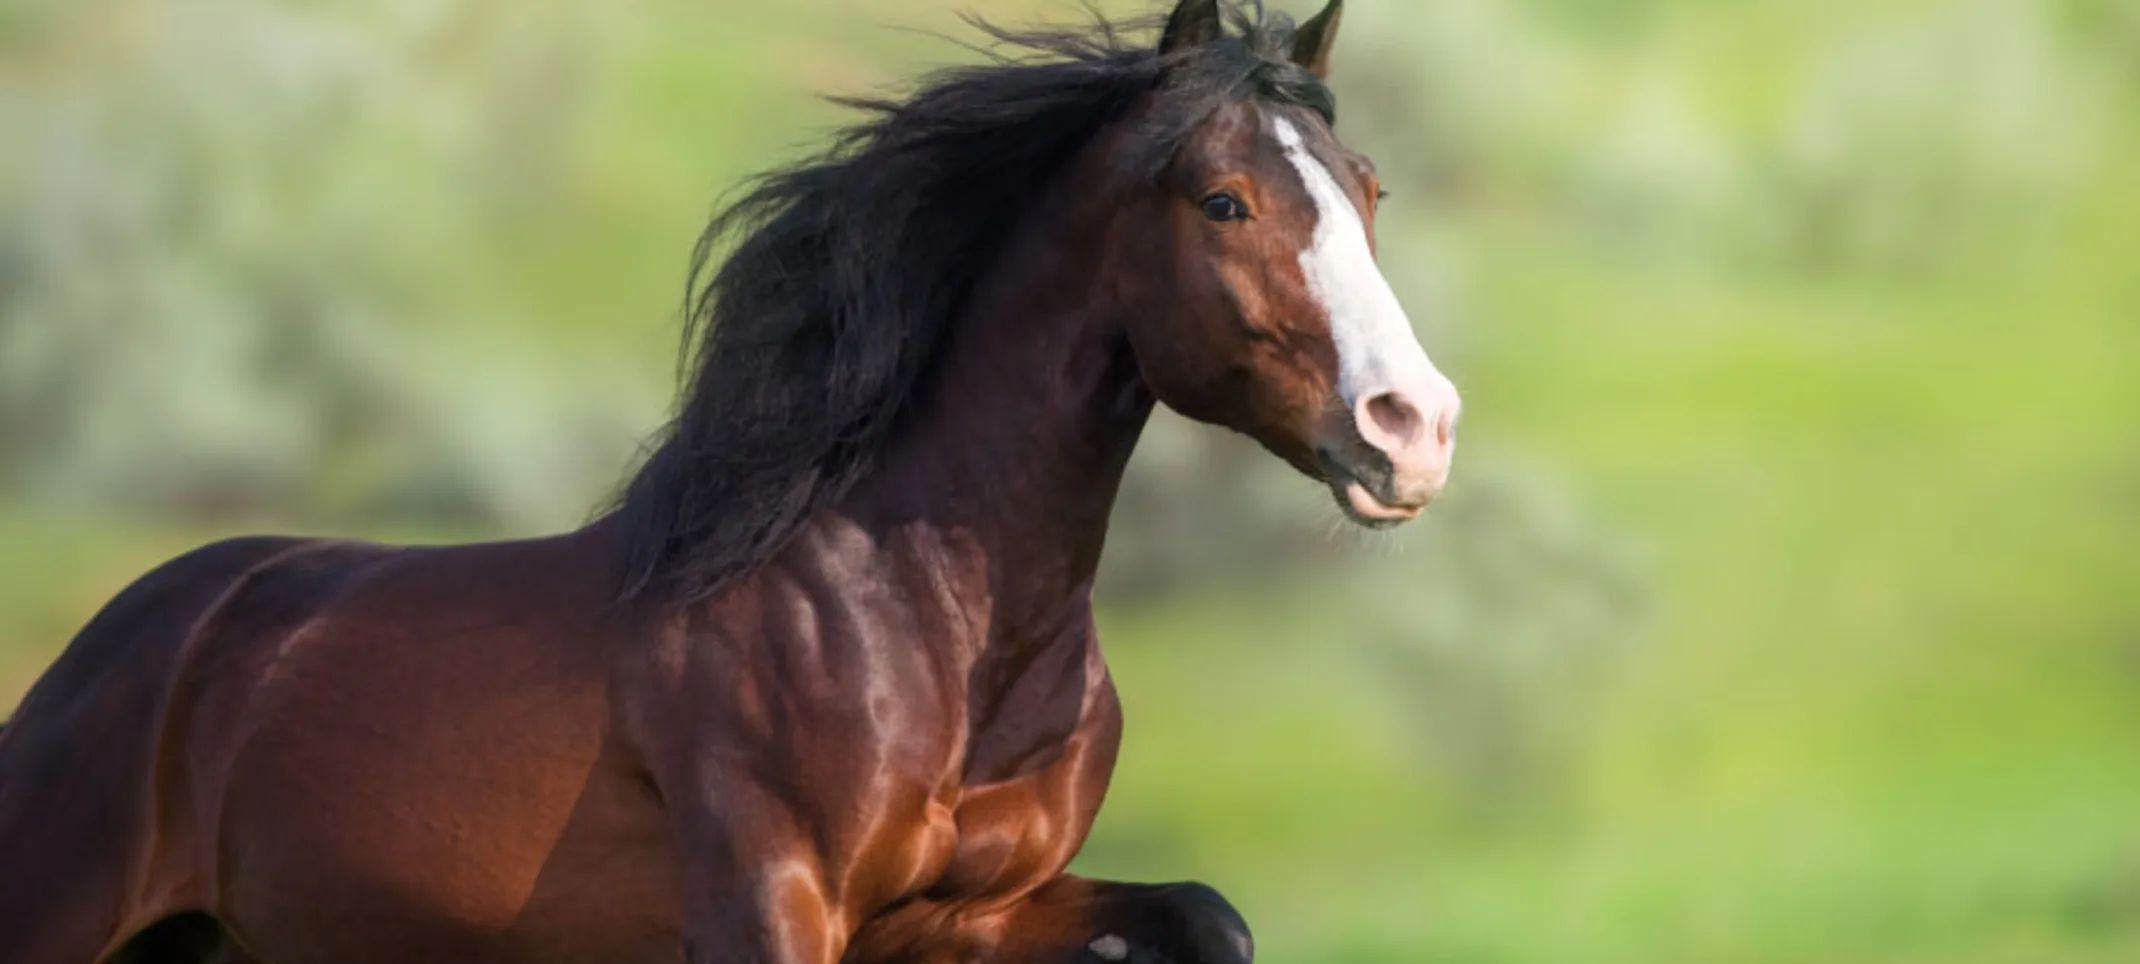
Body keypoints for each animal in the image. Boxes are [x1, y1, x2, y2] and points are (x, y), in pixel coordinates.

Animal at [0, 1, 1460, 961]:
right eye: (1222, 200)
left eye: (1369, 190)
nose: (1415, 428)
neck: (926, 632)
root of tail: (129, 643)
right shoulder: (771, 901)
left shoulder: (969, 912)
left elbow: (1206, 919)